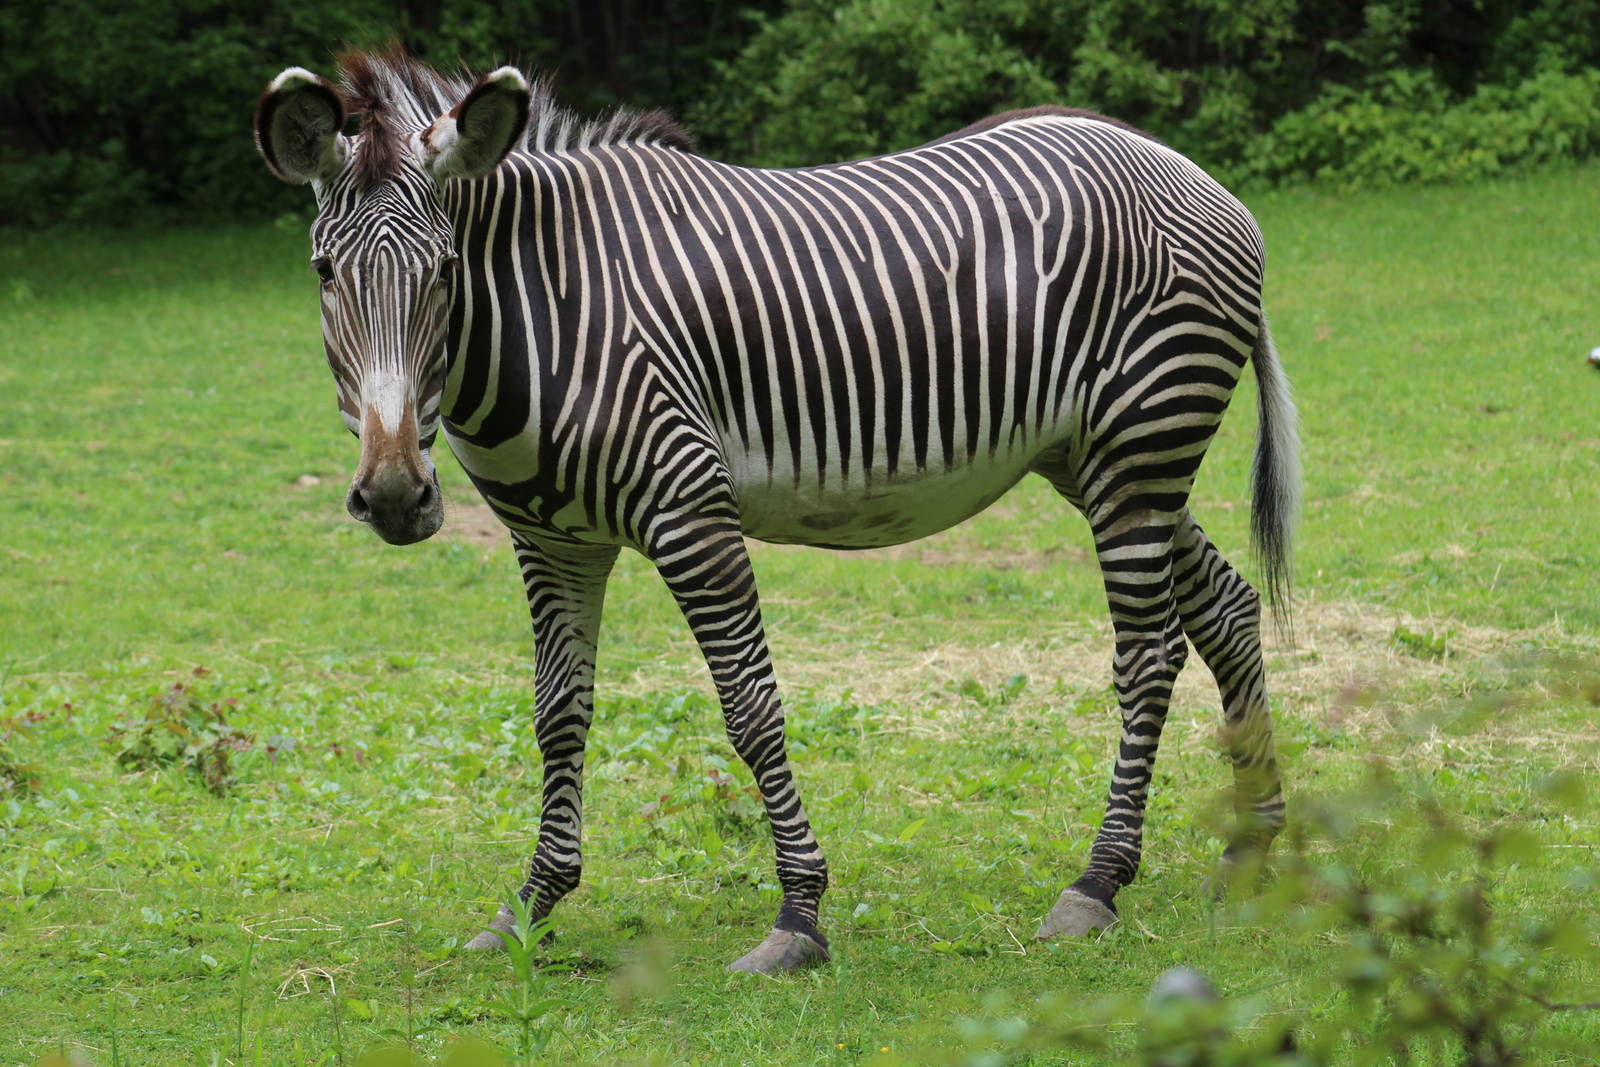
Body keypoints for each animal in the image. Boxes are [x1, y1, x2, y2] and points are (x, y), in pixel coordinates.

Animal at [254, 45, 1297, 975]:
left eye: (444, 273)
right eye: (323, 273)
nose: (396, 496)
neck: (547, 308)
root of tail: (1190, 172)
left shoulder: (691, 510)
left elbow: (750, 709)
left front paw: (799, 916)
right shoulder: (553, 541)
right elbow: (557, 714)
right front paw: (530, 907)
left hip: (1142, 439)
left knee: (1148, 653)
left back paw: (1098, 882)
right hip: (1094, 456)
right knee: (1226, 606)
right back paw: (1255, 846)